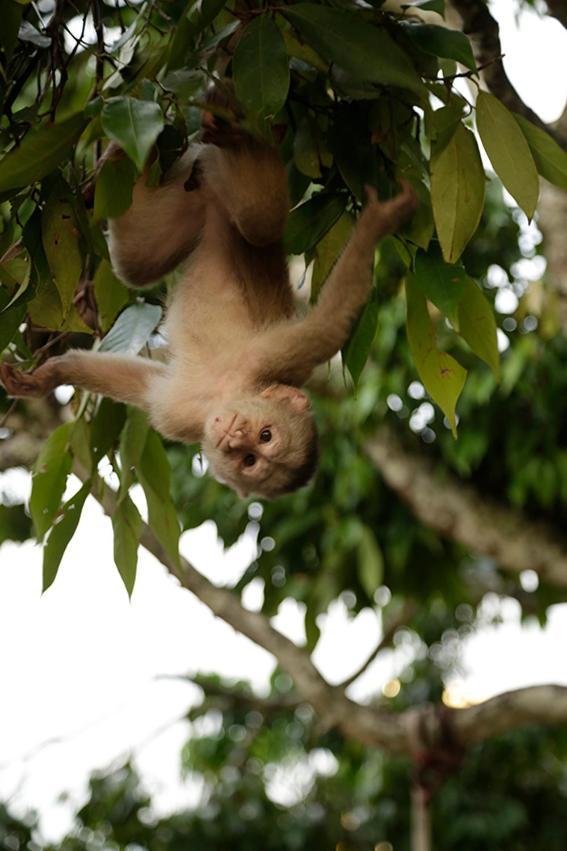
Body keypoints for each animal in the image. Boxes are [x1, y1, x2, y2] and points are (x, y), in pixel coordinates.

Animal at [0, 100, 418, 500]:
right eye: (264, 436)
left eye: (251, 458)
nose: (234, 436)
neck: (228, 391)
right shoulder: (271, 356)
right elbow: (328, 325)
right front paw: (378, 223)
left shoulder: (183, 418)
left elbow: (143, 385)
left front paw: (48, 376)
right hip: (210, 181)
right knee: (260, 224)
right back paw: (218, 130)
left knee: (137, 263)